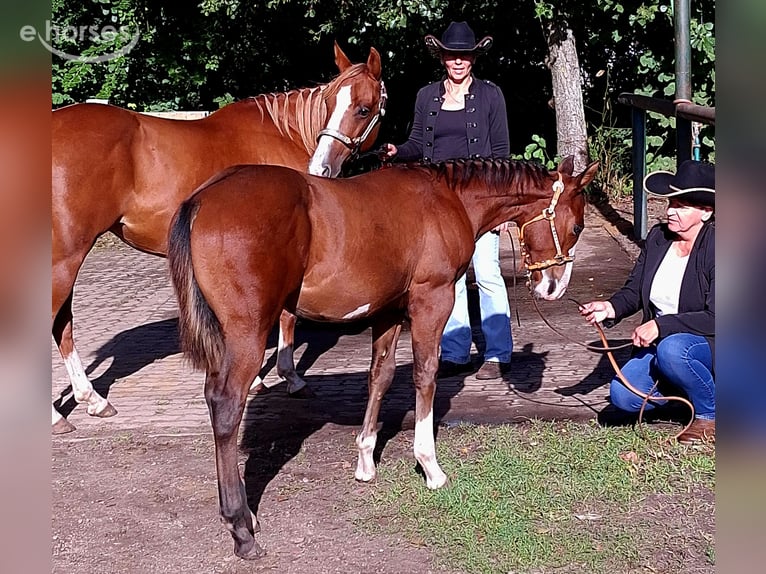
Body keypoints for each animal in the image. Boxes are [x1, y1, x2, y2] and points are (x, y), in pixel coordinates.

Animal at [52, 42, 385, 434]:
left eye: (362, 108)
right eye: (332, 102)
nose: (321, 168)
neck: (282, 134)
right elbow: (286, 317)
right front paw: (288, 377)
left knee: (62, 325)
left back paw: (91, 399)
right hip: (65, 257)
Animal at [167, 156, 599, 558]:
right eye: (576, 226)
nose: (553, 287)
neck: (447, 198)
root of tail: (202, 199)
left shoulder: (389, 311)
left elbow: (381, 375)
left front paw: (365, 460)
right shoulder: (431, 299)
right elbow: (425, 375)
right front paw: (430, 467)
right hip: (248, 332)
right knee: (226, 405)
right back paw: (241, 528)